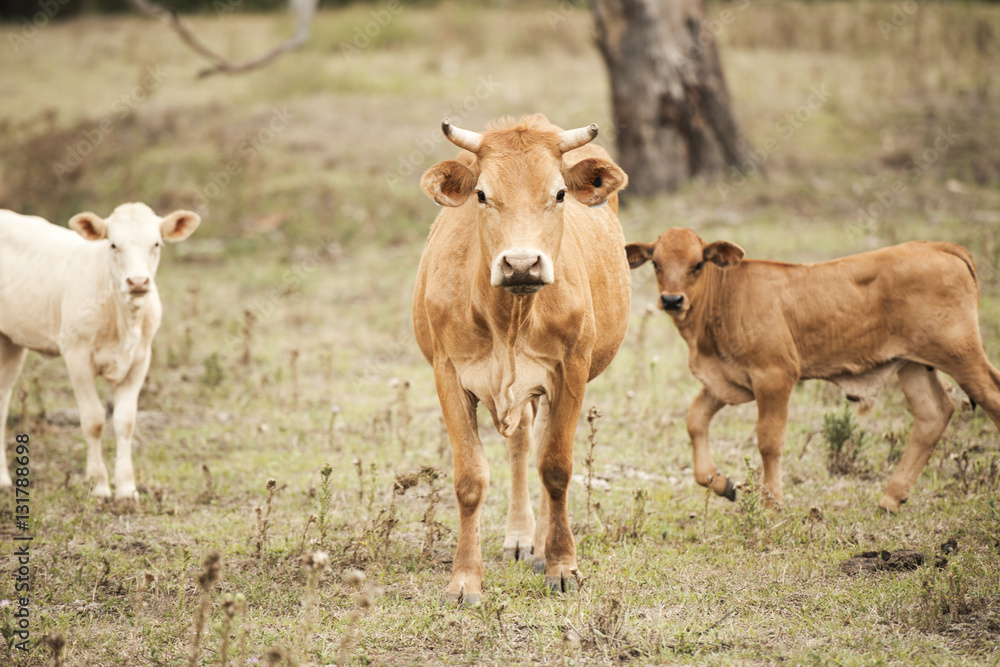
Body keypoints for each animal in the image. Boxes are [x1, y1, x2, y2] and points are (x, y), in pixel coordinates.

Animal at [0, 204, 201, 500]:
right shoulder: (77, 355)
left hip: (11, 341)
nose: (138, 281)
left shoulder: (141, 359)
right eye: (113, 244)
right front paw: (99, 485)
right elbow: (93, 420)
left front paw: (127, 488)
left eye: (156, 243)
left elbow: (125, 420)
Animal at [416, 115, 632, 604]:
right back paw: (520, 537)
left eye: (559, 193)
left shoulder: (570, 372)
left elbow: (556, 467)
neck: (508, 320)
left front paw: (562, 565)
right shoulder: (447, 374)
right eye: (481, 194)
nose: (520, 264)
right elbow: (470, 479)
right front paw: (464, 580)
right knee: (520, 445)